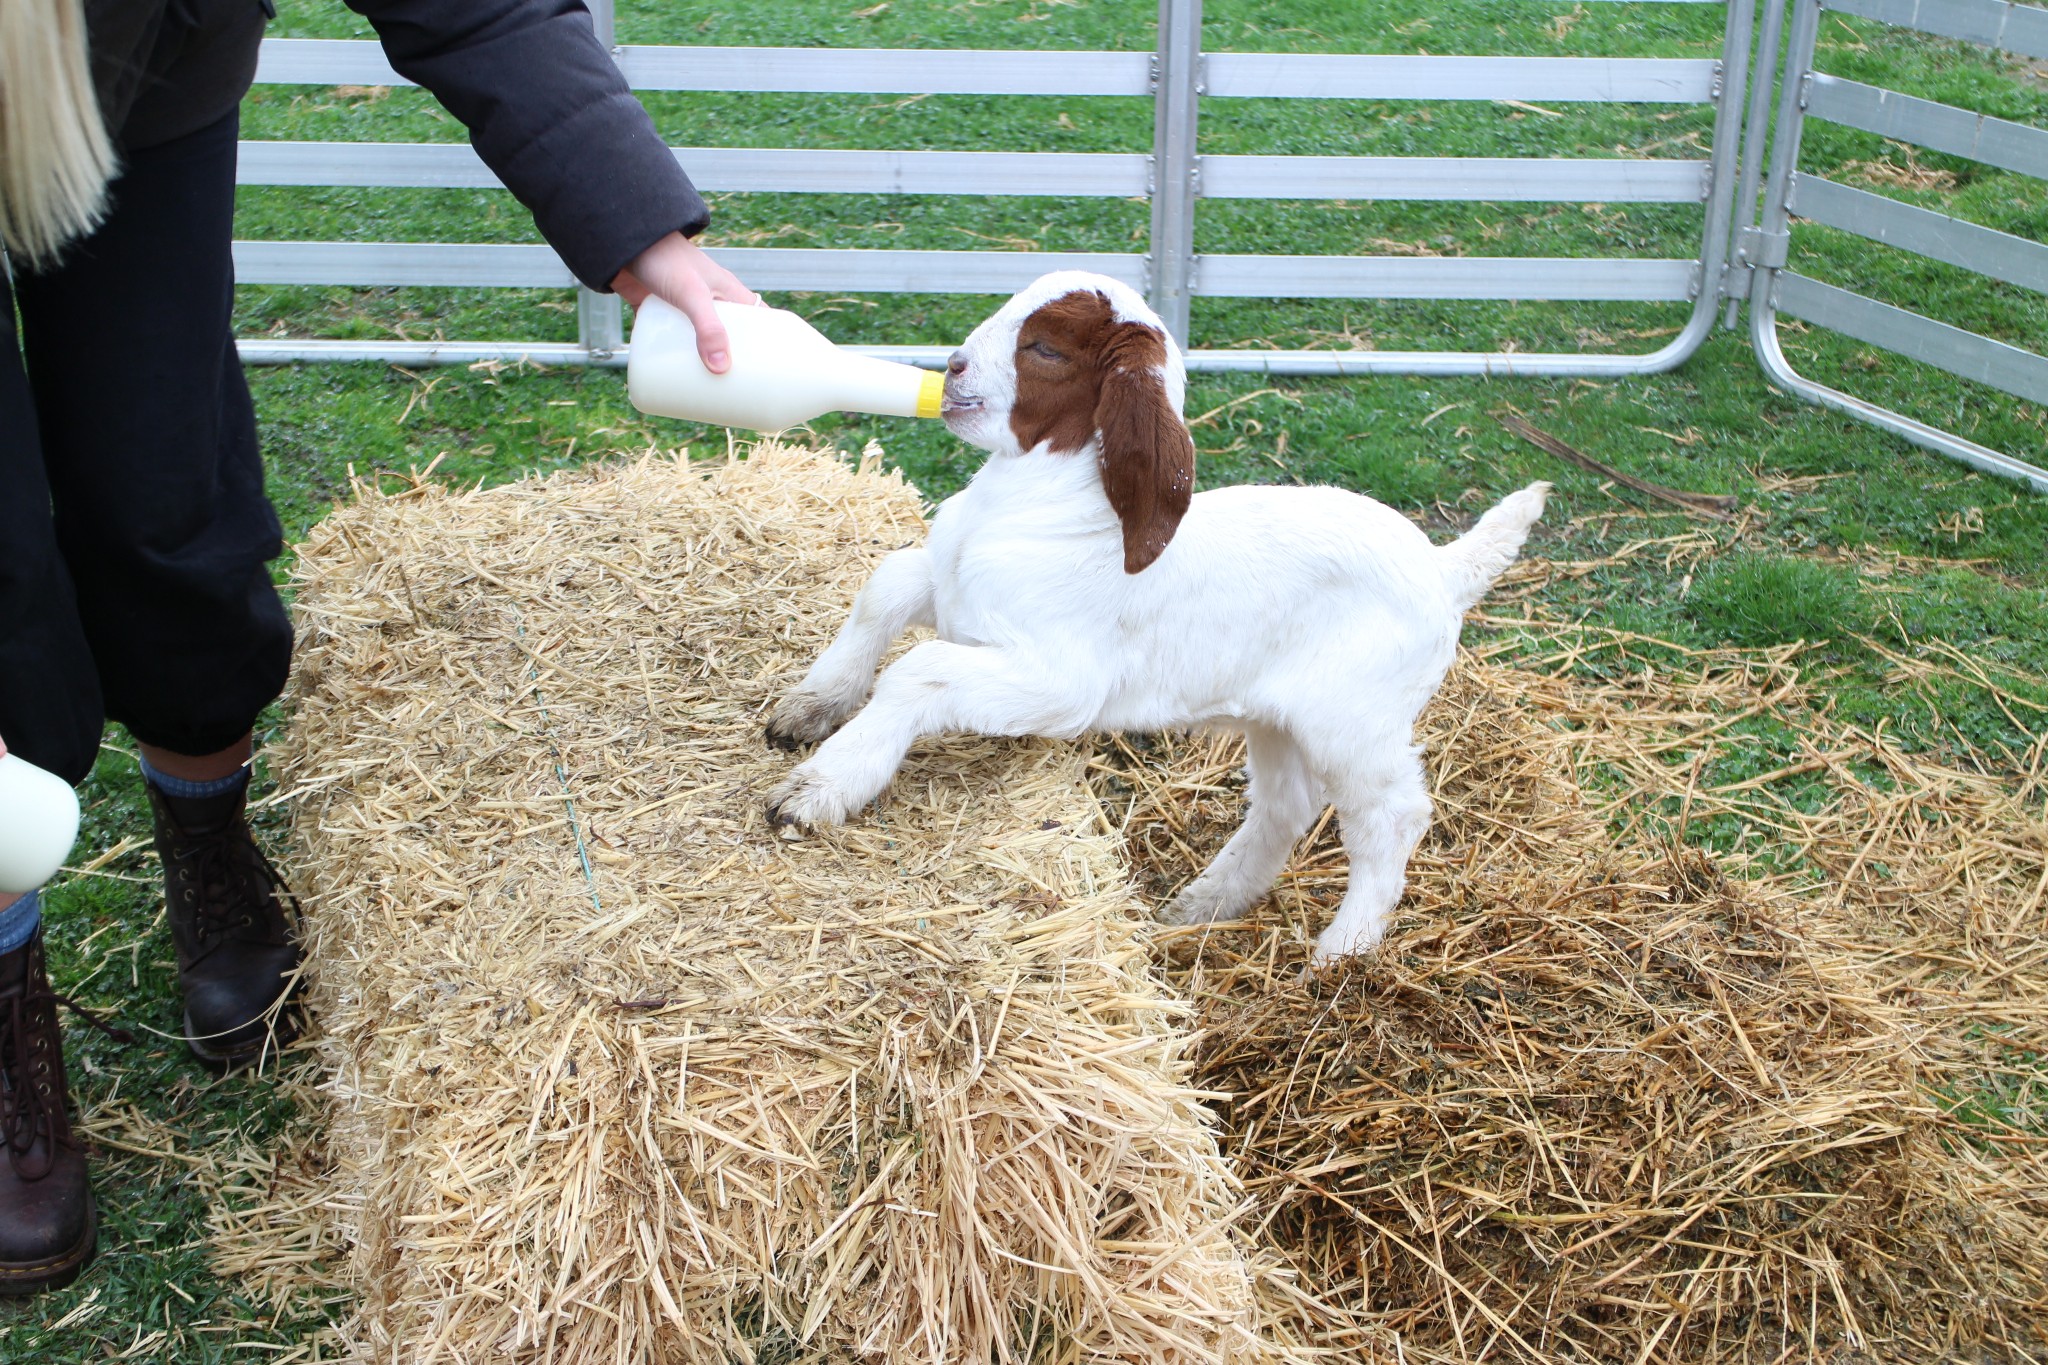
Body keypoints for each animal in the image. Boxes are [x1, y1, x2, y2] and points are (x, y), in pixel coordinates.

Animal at [770, 272, 1548, 965]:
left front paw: (818, 788)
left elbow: (919, 667)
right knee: (1286, 805)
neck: (1053, 509)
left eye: (1045, 349)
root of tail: (1442, 571)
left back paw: (1342, 952)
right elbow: (886, 584)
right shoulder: (958, 597)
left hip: (1355, 720)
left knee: (1391, 815)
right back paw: (1204, 903)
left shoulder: (1061, 682)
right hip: (1280, 717)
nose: (954, 367)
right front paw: (810, 706)